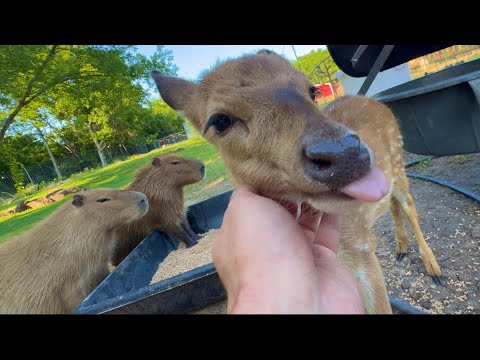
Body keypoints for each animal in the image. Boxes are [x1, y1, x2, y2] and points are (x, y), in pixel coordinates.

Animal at [151, 49, 442, 314]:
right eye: (219, 120)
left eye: (312, 91)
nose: (345, 152)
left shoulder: (364, 250)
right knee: (392, 203)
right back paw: (401, 248)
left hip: (399, 164)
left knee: (409, 206)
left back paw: (434, 268)